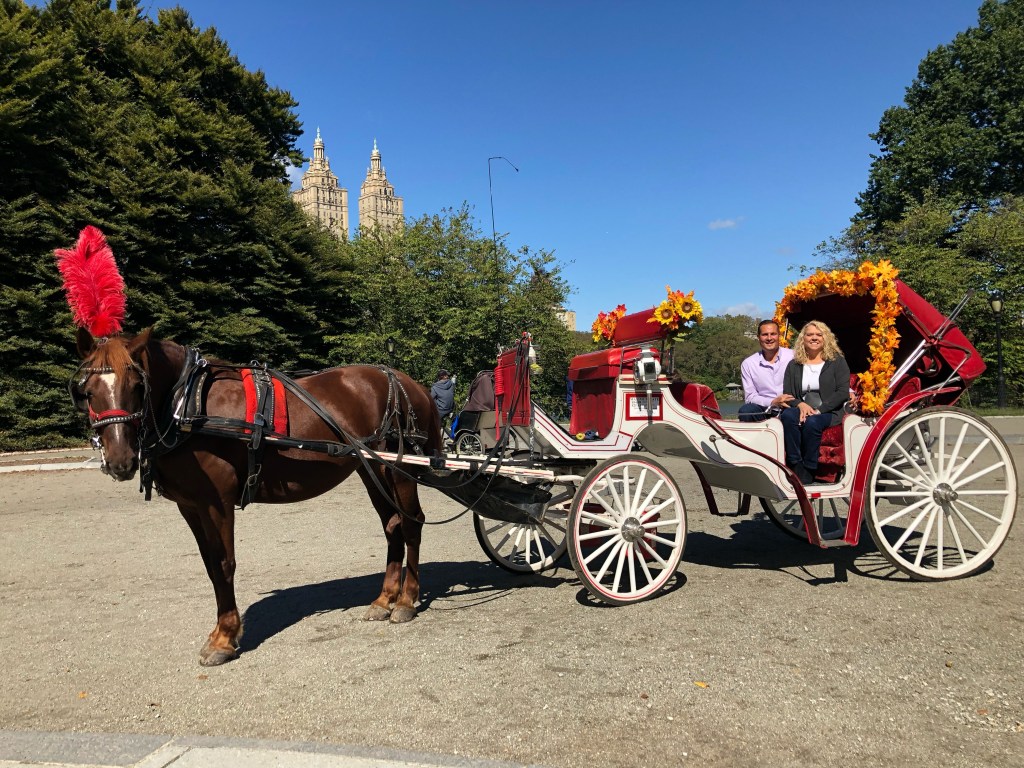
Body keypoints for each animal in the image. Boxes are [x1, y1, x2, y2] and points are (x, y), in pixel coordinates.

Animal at [70, 326, 442, 666]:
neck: (188, 405)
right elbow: (209, 565)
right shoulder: (190, 506)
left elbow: (223, 564)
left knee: (411, 524)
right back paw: (384, 599)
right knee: (392, 526)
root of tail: (409, 384)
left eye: (137, 385)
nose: (120, 460)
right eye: (88, 392)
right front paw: (220, 632)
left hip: (398, 469)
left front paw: (224, 637)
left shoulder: (216, 500)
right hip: (370, 470)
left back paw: (406, 600)